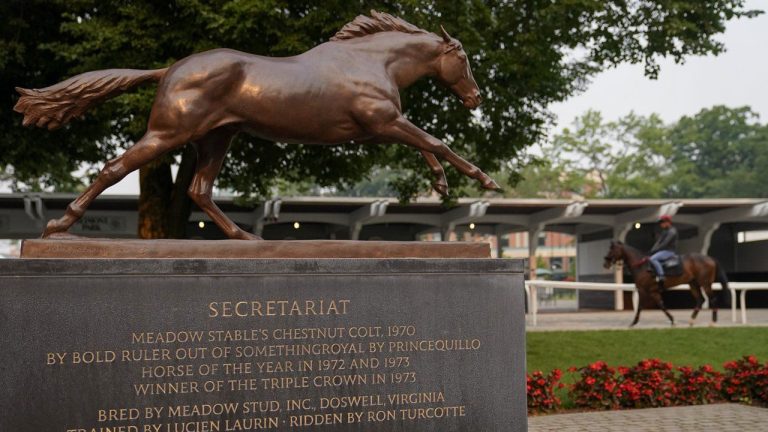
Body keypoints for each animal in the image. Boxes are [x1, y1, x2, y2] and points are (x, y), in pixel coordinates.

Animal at [16, 11, 504, 240]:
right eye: (463, 58)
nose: (476, 97)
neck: (371, 60)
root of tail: (169, 69)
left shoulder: (383, 125)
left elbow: (427, 145)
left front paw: (441, 185)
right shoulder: (383, 121)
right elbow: (438, 143)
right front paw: (486, 181)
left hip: (217, 138)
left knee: (199, 190)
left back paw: (243, 236)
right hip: (170, 134)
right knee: (115, 167)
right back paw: (58, 226)